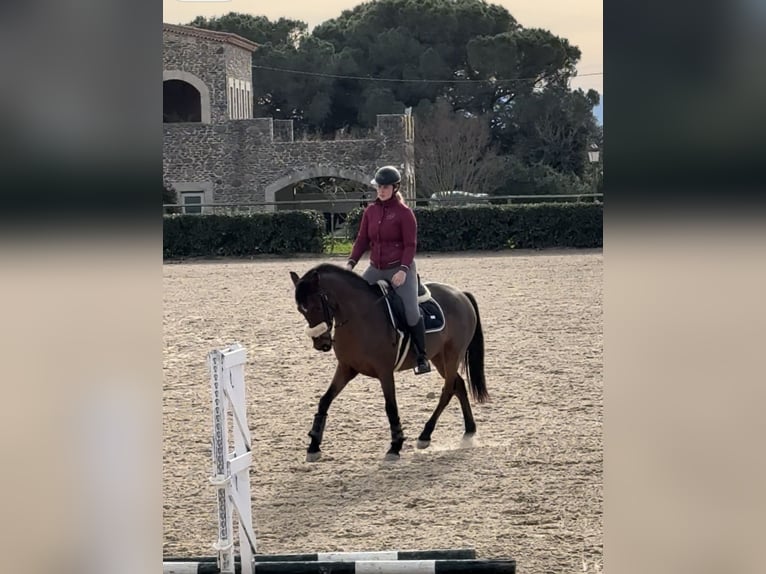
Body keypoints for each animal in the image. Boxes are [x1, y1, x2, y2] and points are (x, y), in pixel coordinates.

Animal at [289, 263, 488, 461]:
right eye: (300, 310)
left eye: (316, 306)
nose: (320, 343)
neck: (360, 316)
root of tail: (461, 294)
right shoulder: (346, 368)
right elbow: (324, 400)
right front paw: (314, 445)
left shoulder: (385, 372)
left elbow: (390, 407)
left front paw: (395, 446)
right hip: (439, 358)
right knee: (458, 385)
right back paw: (469, 431)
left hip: (452, 356)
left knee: (447, 390)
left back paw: (425, 435)